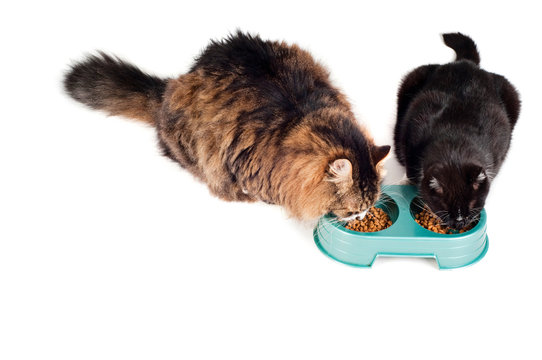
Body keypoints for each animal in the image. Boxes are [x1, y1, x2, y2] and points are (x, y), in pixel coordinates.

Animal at [396, 32, 524, 229]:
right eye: (444, 206)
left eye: (471, 204)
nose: (459, 222)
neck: (454, 148)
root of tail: (466, 63)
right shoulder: (413, 130)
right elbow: (410, 167)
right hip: (412, 79)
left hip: (512, 96)